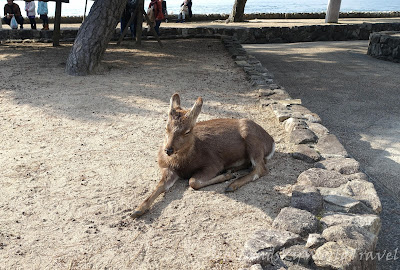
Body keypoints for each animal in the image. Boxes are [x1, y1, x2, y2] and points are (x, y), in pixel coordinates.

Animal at [131, 94, 276, 218]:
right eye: (166, 127)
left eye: (187, 131)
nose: (168, 150)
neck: (181, 164)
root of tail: (271, 142)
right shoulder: (167, 169)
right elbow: (159, 186)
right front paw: (137, 210)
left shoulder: (213, 163)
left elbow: (193, 181)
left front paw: (225, 177)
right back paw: (232, 170)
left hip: (252, 139)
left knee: (261, 168)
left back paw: (231, 184)